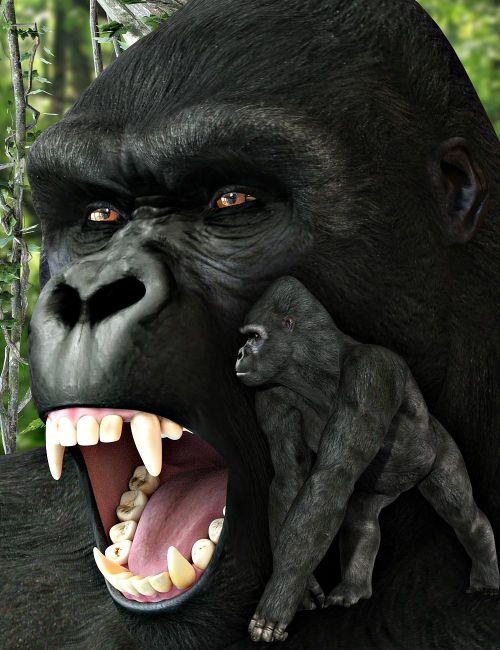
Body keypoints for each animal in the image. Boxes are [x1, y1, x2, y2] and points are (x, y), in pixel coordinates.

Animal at [236, 276, 499, 643]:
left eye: (254, 337)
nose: (240, 353)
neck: (316, 365)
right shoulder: (271, 392)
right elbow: (290, 476)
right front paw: (300, 590)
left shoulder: (371, 372)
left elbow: (330, 476)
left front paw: (276, 602)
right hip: (380, 490)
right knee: (361, 518)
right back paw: (354, 589)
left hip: (439, 448)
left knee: (461, 513)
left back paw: (487, 575)